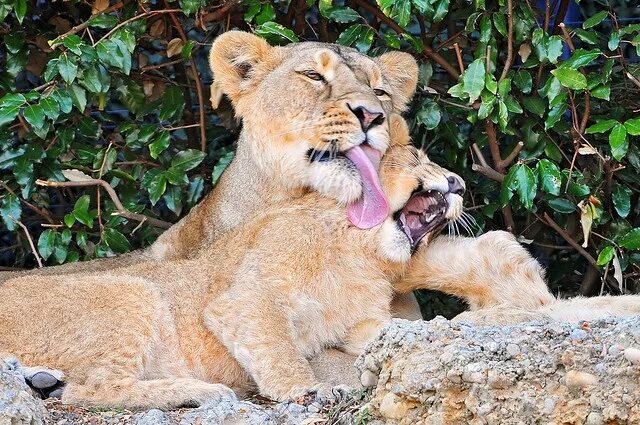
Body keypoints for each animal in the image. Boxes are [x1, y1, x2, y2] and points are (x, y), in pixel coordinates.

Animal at [0, 128, 464, 408]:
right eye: (419, 157)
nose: (459, 184)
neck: (364, 257)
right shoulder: (248, 297)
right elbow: (278, 348)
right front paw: (308, 388)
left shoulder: (361, 326)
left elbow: (401, 332)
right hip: (132, 291)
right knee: (89, 391)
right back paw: (201, 391)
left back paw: (44, 379)